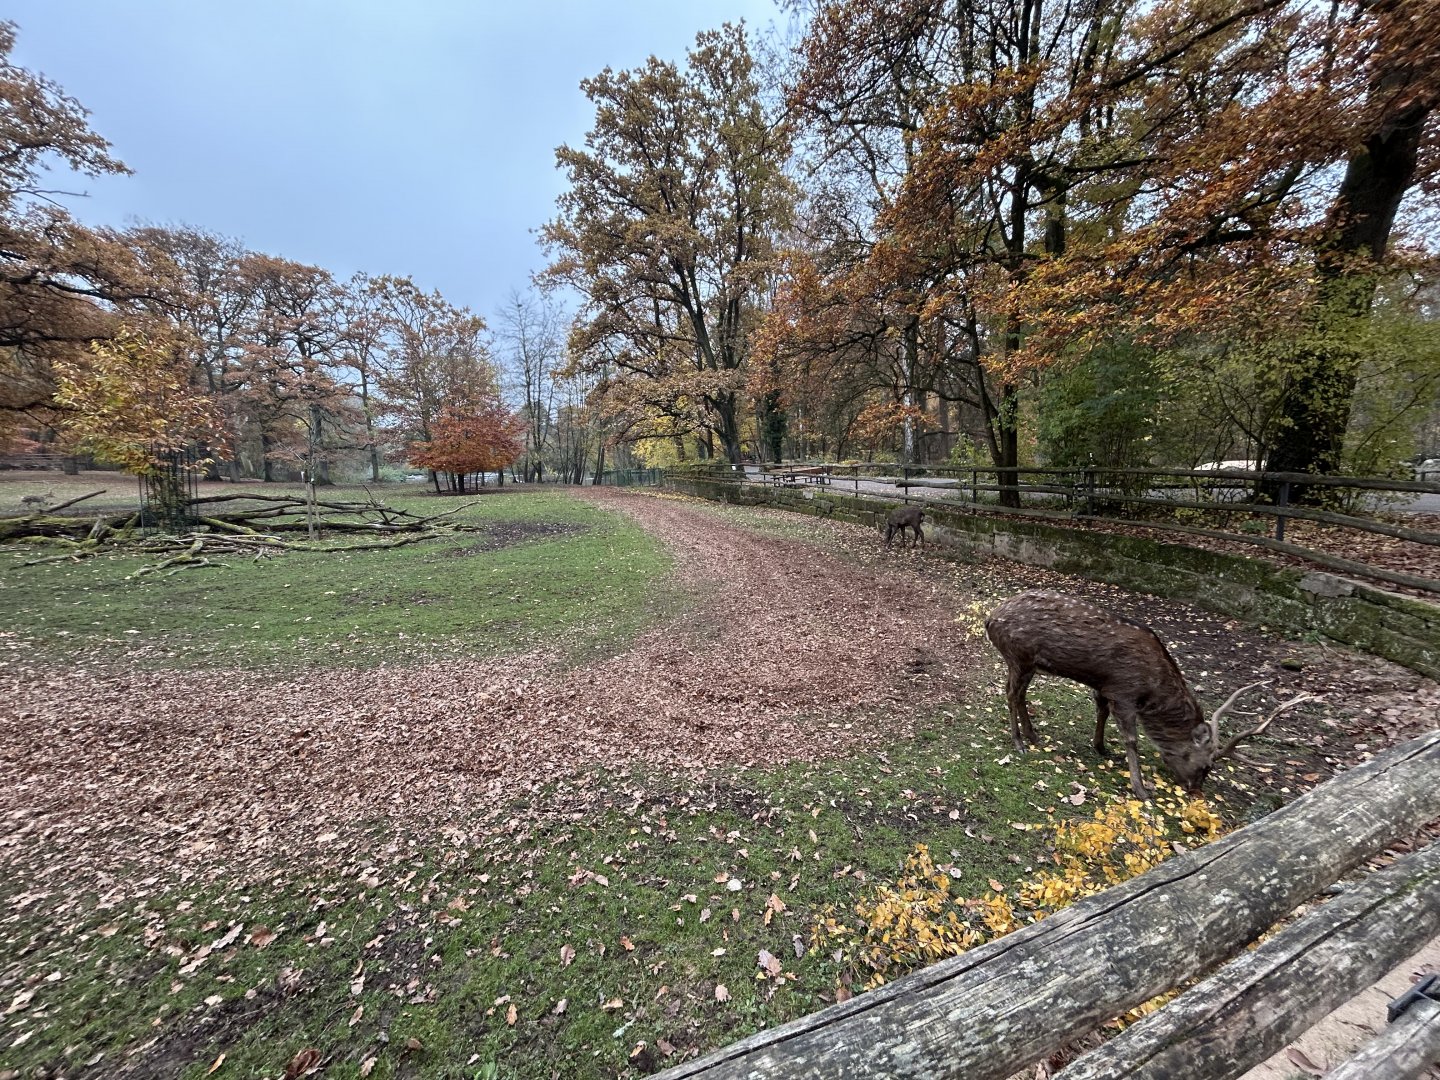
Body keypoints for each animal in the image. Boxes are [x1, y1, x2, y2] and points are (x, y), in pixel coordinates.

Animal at [984, 590, 1311, 799]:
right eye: (1207, 766)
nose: (1196, 790)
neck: (1153, 687)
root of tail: (990, 618)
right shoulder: (1124, 691)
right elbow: (1132, 738)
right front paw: (1141, 789)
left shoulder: (1104, 686)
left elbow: (1100, 710)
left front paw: (1101, 747)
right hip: (1019, 656)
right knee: (1011, 693)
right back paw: (1019, 742)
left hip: (1029, 664)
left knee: (1019, 695)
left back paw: (1033, 735)